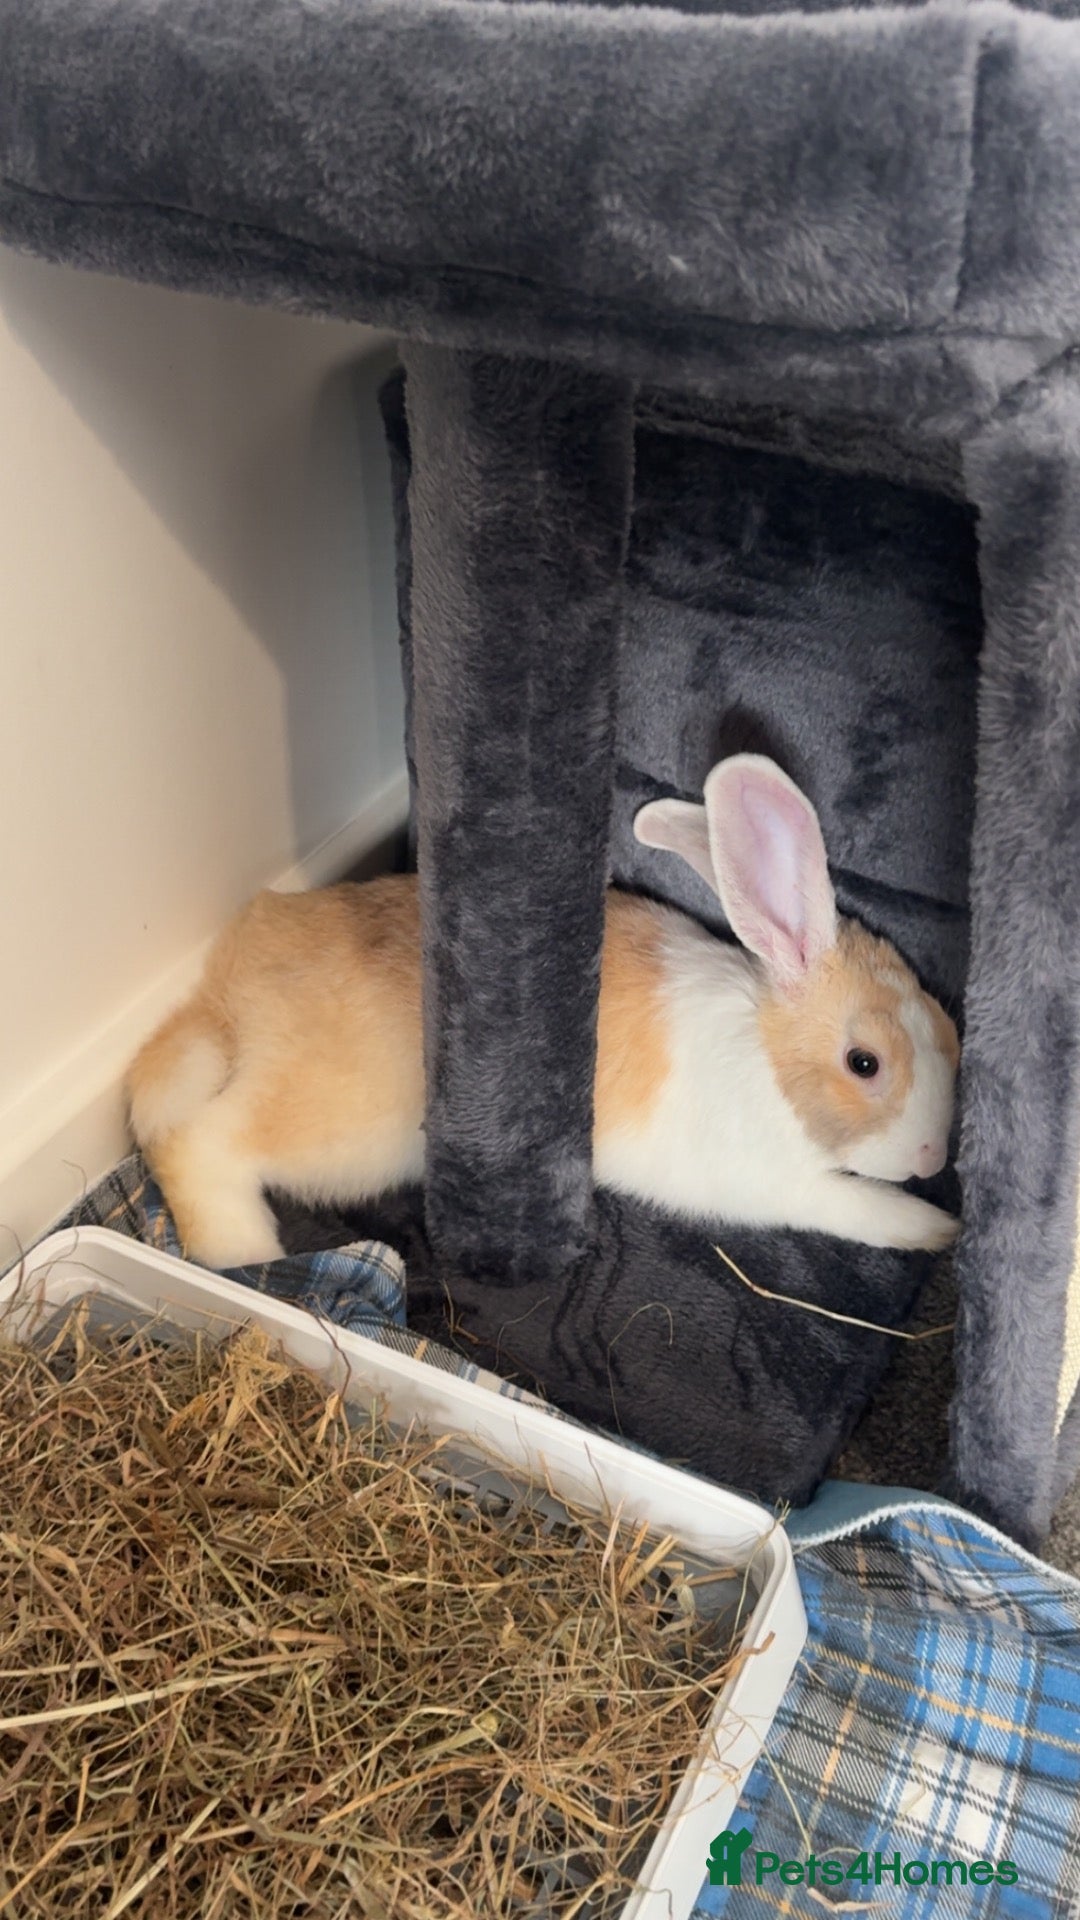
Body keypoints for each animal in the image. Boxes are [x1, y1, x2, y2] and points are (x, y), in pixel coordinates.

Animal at [125, 755, 960, 1270]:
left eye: (951, 1029)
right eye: (864, 1063)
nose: (933, 1160)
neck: (769, 1055)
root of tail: (225, 992)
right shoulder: (781, 1185)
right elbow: (858, 1207)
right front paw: (938, 1230)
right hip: (336, 1126)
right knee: (195, 1142)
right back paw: (245, 1254)